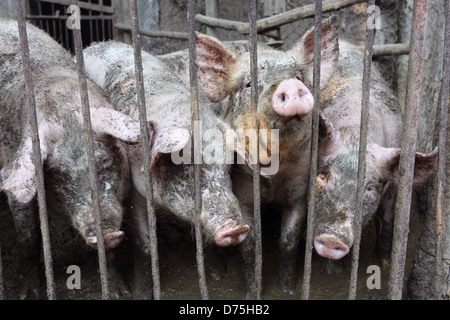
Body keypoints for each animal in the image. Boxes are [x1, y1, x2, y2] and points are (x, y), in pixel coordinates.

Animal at [0, 20, 142, 298]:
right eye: (57, 174)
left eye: (104, 161)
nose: (105, 234)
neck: (61, 102)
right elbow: (28, 236)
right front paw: (28, 294)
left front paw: (119, 292)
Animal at [83, 40, 251, 300]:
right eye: (186, 165)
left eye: (226, 167)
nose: (237, 227)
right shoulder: (135, 190)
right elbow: (144, 244)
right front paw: (140, 294)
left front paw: (217, 276)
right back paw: (118, 291)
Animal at [195, 16, 340, 298]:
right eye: (249, 84)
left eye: (298, 77)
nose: (290, 84)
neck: (275, 167)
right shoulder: (242, 194)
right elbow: (250, 247)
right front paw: (252, 293)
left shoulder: (300, 190)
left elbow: (288, 242)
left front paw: (288, 289)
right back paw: (217, 276)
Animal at [312, 40, 438, 268]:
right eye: (323, 176)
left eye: (369, 188)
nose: (332, 238)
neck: (357, 131)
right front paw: (333, 270)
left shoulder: (393, 184)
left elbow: (388, 215)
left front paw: (385, 262)